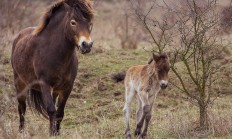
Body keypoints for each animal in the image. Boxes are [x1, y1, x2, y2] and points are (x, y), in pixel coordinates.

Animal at [10, 0, 94, 136]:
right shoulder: (44, 84)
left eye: (90, 23)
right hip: (20, 83)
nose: (86, 45)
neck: (54, 52)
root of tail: (19, 35)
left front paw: (56, 133)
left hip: (55, 89)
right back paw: (21, 132)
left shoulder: (67, 86)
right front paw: (52, 133)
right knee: (22, 108)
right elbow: (50, 109)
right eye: (73, 22)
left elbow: (59, 112)